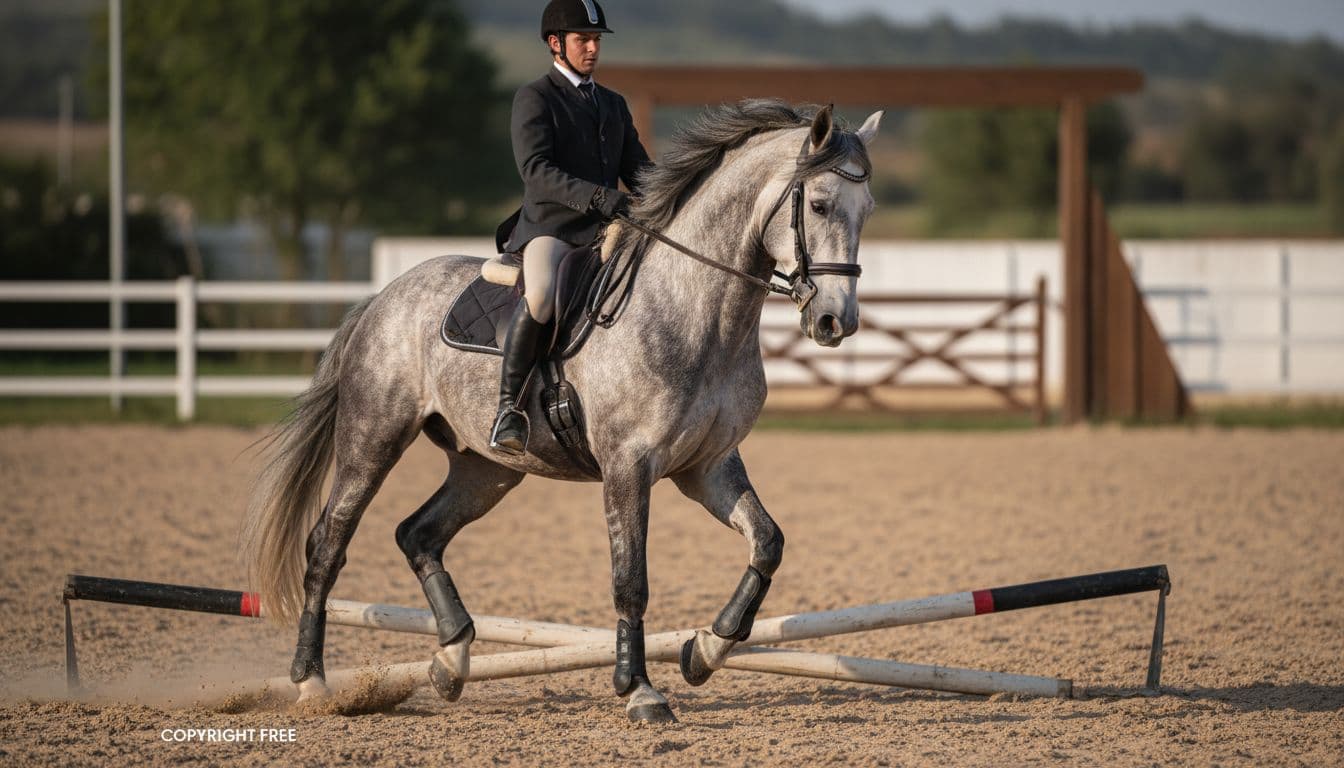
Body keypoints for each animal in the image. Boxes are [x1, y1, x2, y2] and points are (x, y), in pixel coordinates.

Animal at [242, 99, 883, 723]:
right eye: (819, 204)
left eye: (867, 209)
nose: (837, 321)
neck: (698, 314)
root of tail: (382, 298)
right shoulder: (629, 465)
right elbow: (631, 581)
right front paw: (639, 691)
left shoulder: (708, 466)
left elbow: (767, 542)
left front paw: (705, 649)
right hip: (372, 439)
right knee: (327, 546)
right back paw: (313, 683)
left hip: (487, 469)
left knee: (418, 534)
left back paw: (451, 661)